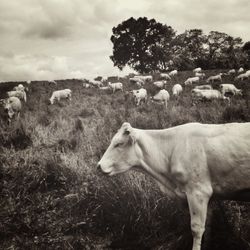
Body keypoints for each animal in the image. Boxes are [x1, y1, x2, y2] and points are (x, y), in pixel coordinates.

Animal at [97, 122, 250, 250]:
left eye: (119, 144)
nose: (98, 166)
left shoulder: (198, 192)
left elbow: (196, 229)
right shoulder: (207, 197)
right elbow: (207, 226)